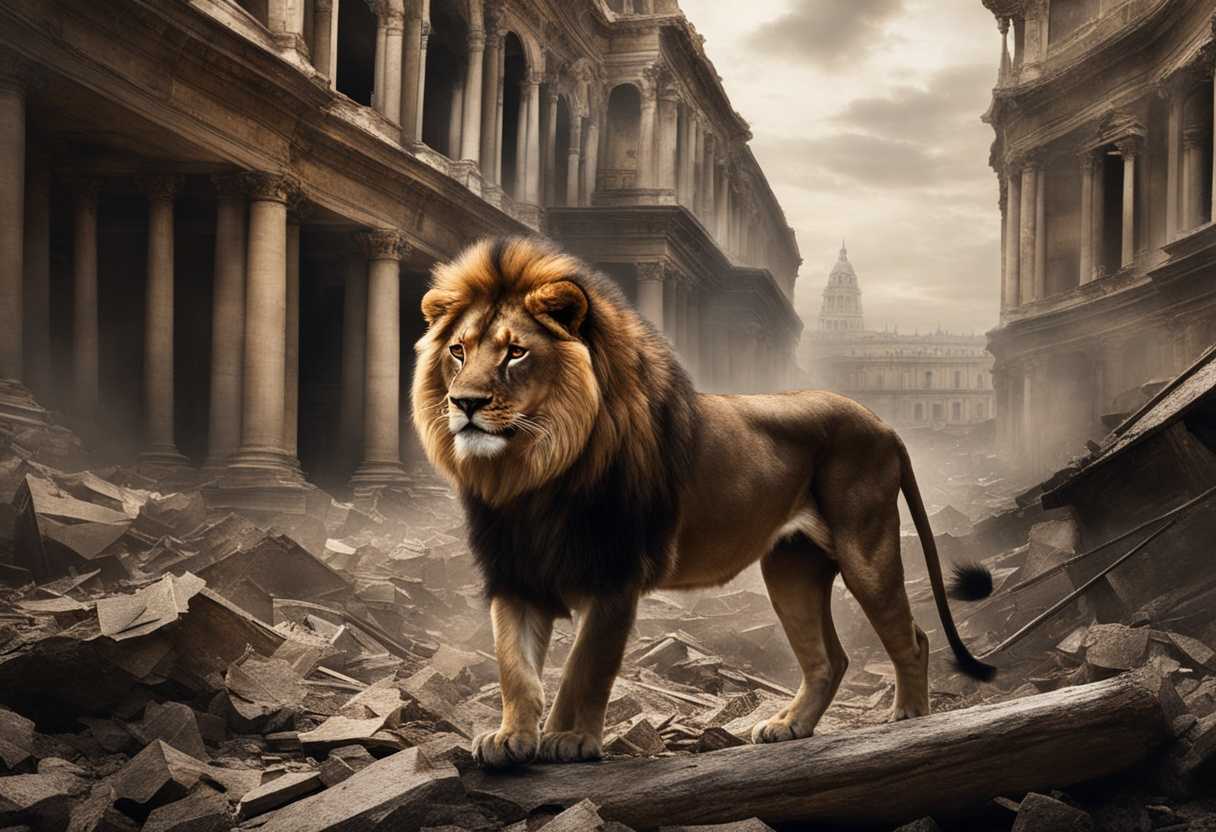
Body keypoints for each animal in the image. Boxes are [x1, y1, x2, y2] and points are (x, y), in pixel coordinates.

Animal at [412, 237, 994, 769]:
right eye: (458, 351)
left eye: (516, 352)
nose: (464, 403)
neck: (533, 471)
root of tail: (882, 422)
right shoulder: (514, 573)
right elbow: (514, 665)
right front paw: (510, 738)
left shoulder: (615, 577)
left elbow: (584, 668)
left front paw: (571, 740)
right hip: (792, 569)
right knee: (830, 658)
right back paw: (788, 726)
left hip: (866, 550)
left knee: (913, 638)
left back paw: (908, 717)